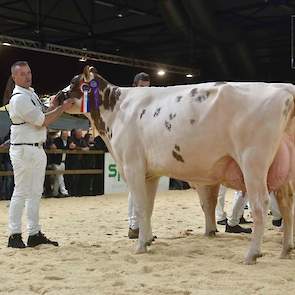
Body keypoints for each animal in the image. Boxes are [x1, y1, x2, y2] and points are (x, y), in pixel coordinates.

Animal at [57, 67, 295, 266]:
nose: (53, 97)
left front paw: (140, 246)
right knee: (286, 203)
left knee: (260, 204)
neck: (117, 110)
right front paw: (148, 239)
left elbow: (141, 207)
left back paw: (252, 254)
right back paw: (285, 250)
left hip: (253, 162)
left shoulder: (133, 167)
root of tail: (284, 88)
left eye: (74, 81)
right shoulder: (150, 174)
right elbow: (148, 208)